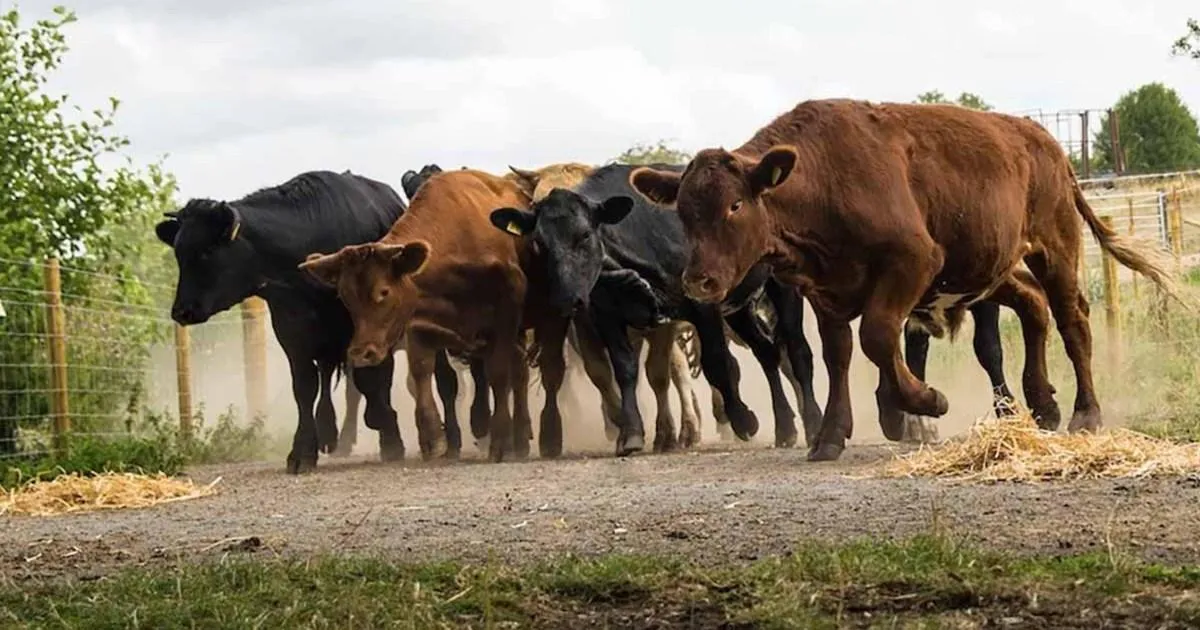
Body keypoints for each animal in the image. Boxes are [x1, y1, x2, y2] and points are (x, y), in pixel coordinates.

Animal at [298, 168, 573, 462]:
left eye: (383, 292)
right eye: (345, 297)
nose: (362, 353)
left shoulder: (507, 312)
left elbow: (499, 374)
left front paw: (499, 441)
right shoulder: (421, 320)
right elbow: (421, 372)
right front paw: (433, 438)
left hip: (551, 319)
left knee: (549, 371)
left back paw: (548, 438)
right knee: (520, 372)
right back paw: (520, 437)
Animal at [492, 162, 820, 455]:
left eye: (585, 235)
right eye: (540, 242)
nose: (567, 299)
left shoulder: (696, 310)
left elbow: (716, 363)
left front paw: (743, 420)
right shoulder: (607, 315)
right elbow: (624, 370)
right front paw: (631, 434)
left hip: (782, 290)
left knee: (796, 351)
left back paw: (812, 422)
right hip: (739, 310)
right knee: (767, 352)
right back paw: (785, 427)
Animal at [629, 97, 1185, 461]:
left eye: (735, 205)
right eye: (684, 211)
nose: (698, 280)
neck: (824, 178)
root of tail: (1041, 138)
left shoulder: (914, 261)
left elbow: (878, 337)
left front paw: (922, 402)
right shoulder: (827, 291)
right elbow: (839, 355)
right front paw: (833, 434)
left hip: (1055, 245)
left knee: (1072, 319)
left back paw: (1084, 414)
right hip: (990, 268)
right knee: (1032, 304)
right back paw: (1042, 403)